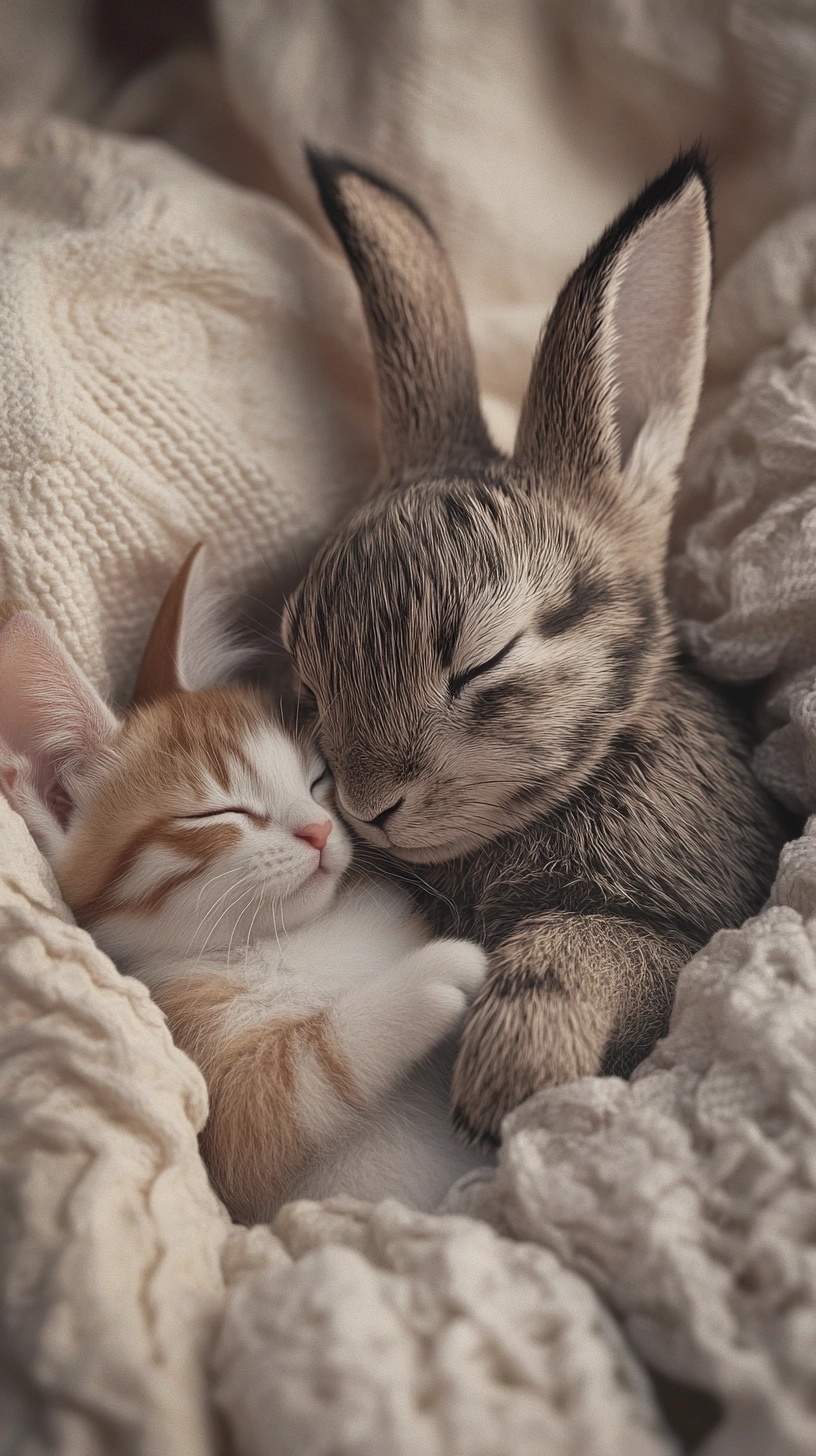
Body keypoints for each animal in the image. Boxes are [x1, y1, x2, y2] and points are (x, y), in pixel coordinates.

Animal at [0, 547, 486, 1217]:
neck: (289, 939)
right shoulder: (221, 1127)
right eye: (218, 813)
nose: (318, 829)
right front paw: (432, 977)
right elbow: (301, 1074)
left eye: (316, 778)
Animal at [278, 150, 792, 1147]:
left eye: (486, 658)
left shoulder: (694, 937)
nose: (367, 803)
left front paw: (510, 1079)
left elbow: (583, 950)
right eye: (307, 674)